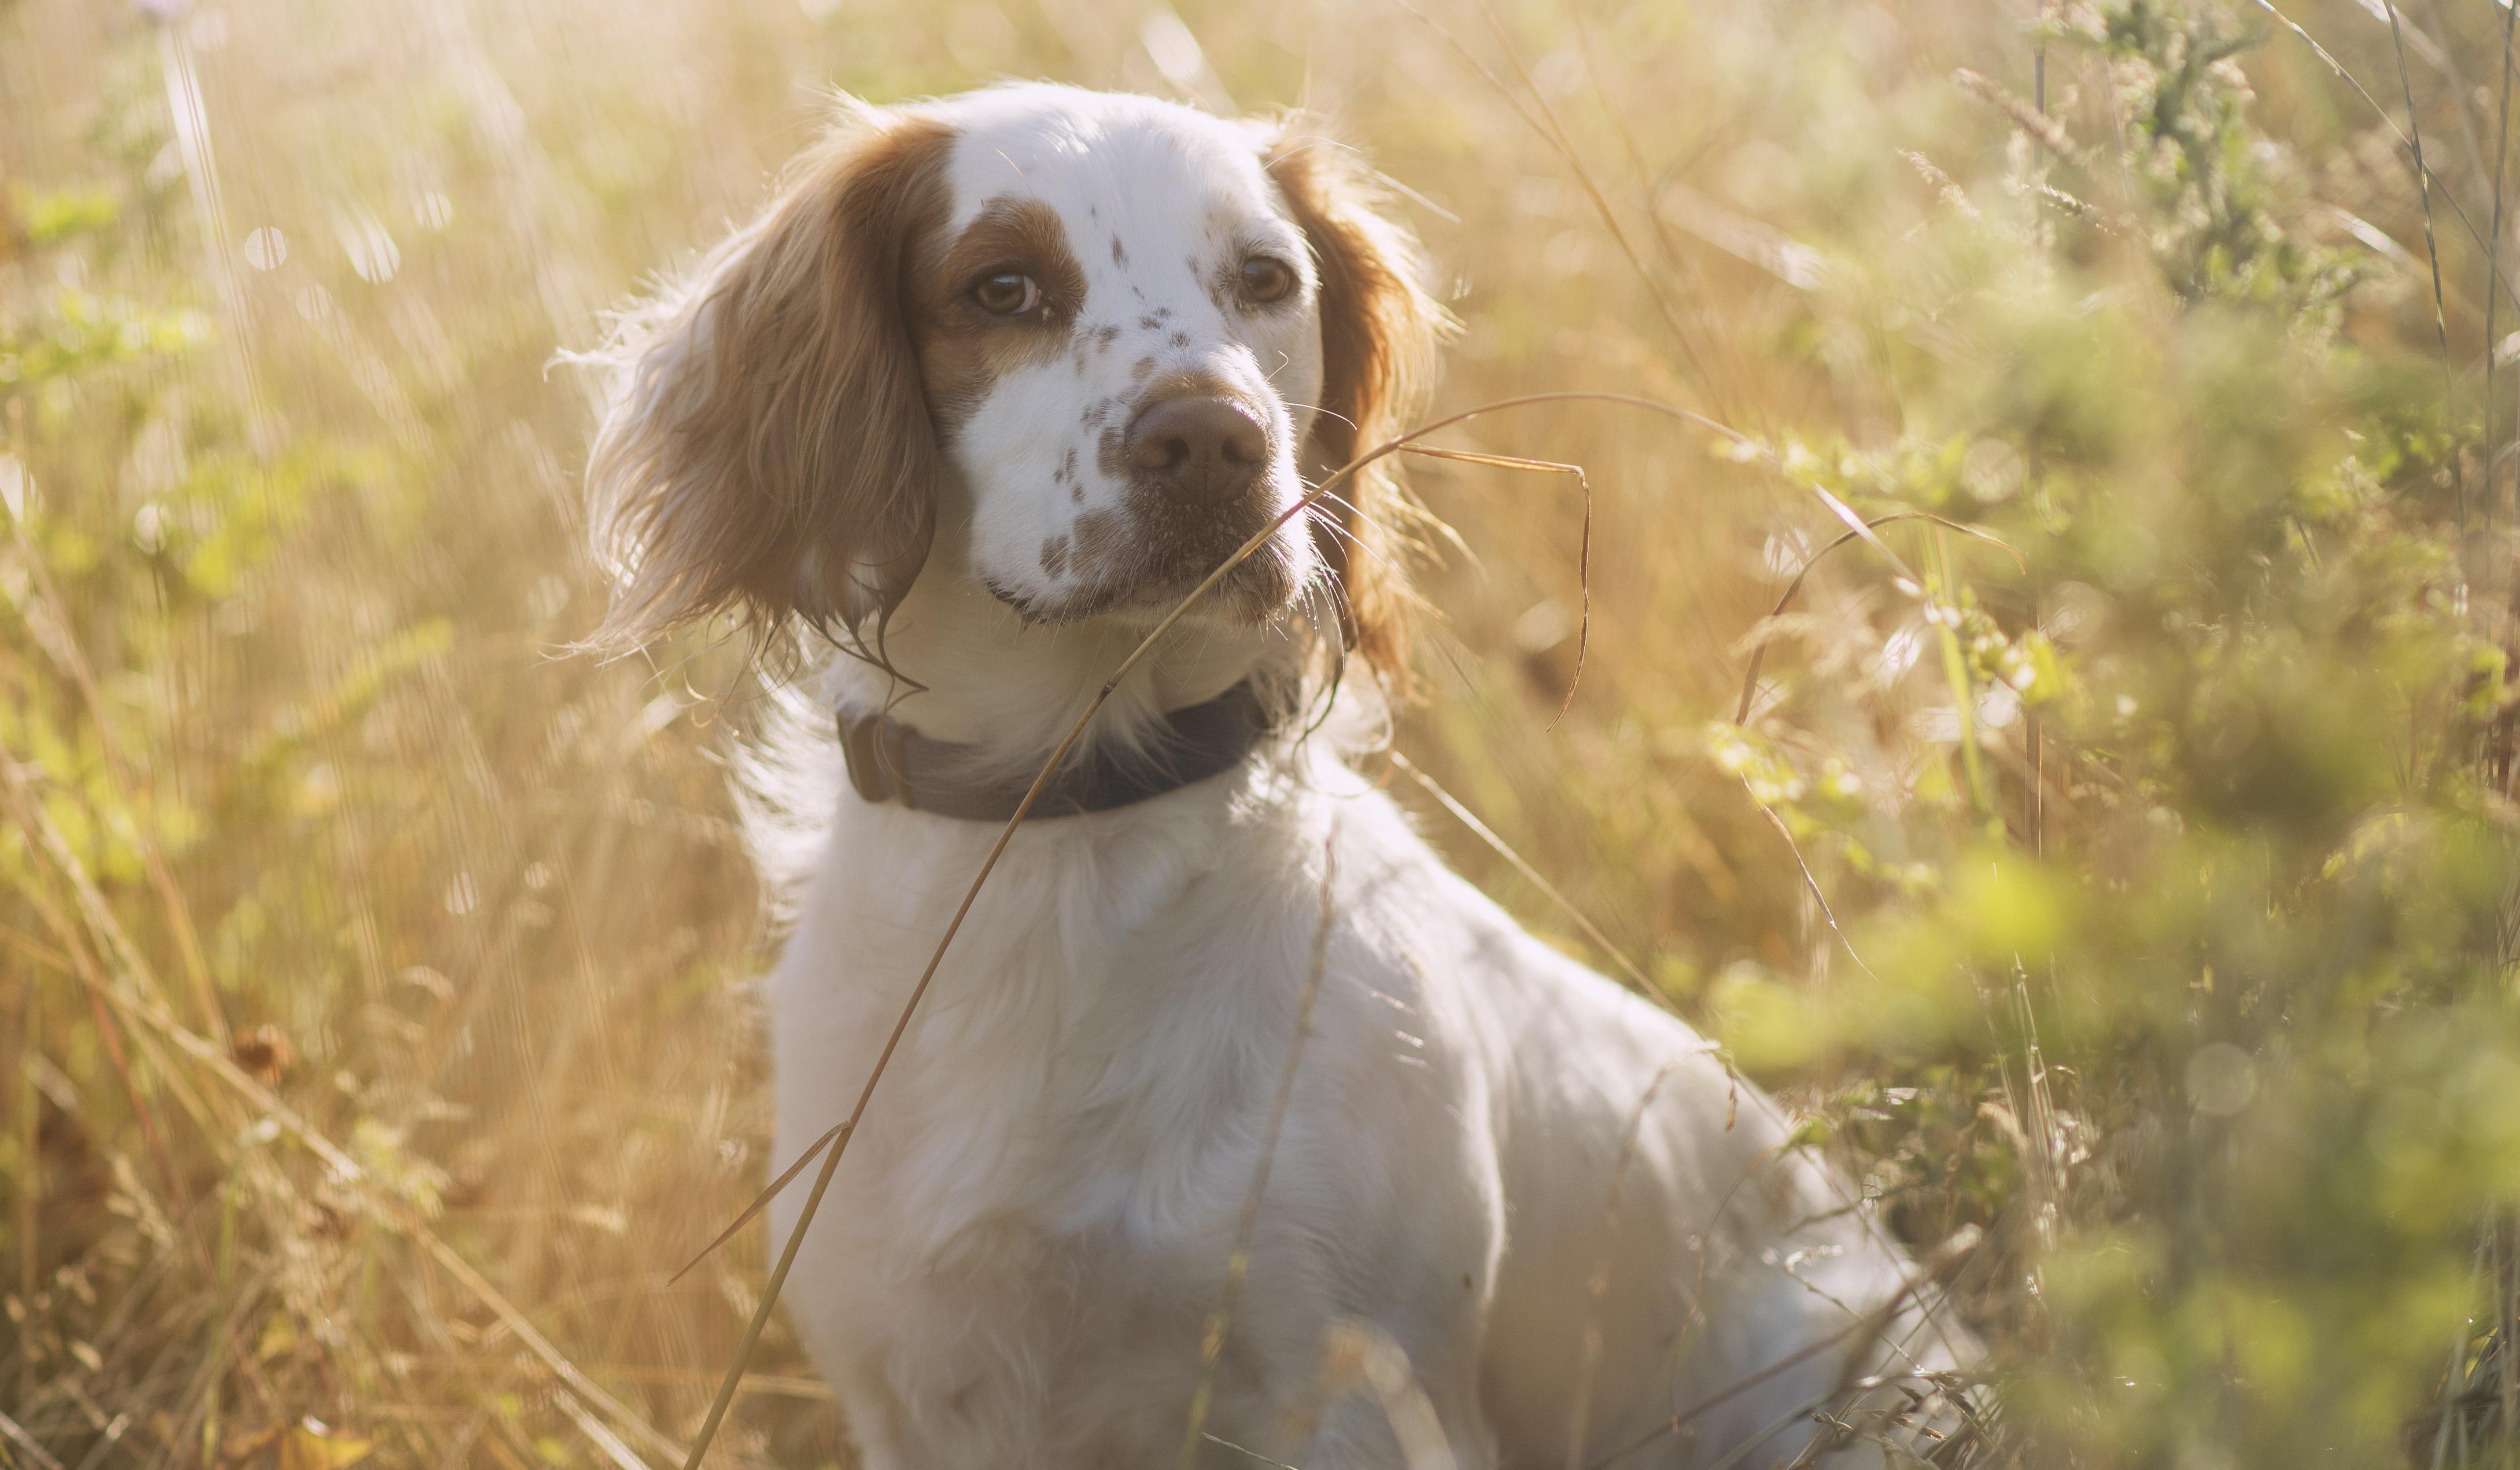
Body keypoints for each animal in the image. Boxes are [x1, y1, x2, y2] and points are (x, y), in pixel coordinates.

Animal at [589, 83, 1965, 1470]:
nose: (1214, 439)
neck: (1069, 826)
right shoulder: (910, 1390)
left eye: (1266, 279)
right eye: (1001, 287)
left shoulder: (1359, 1390)